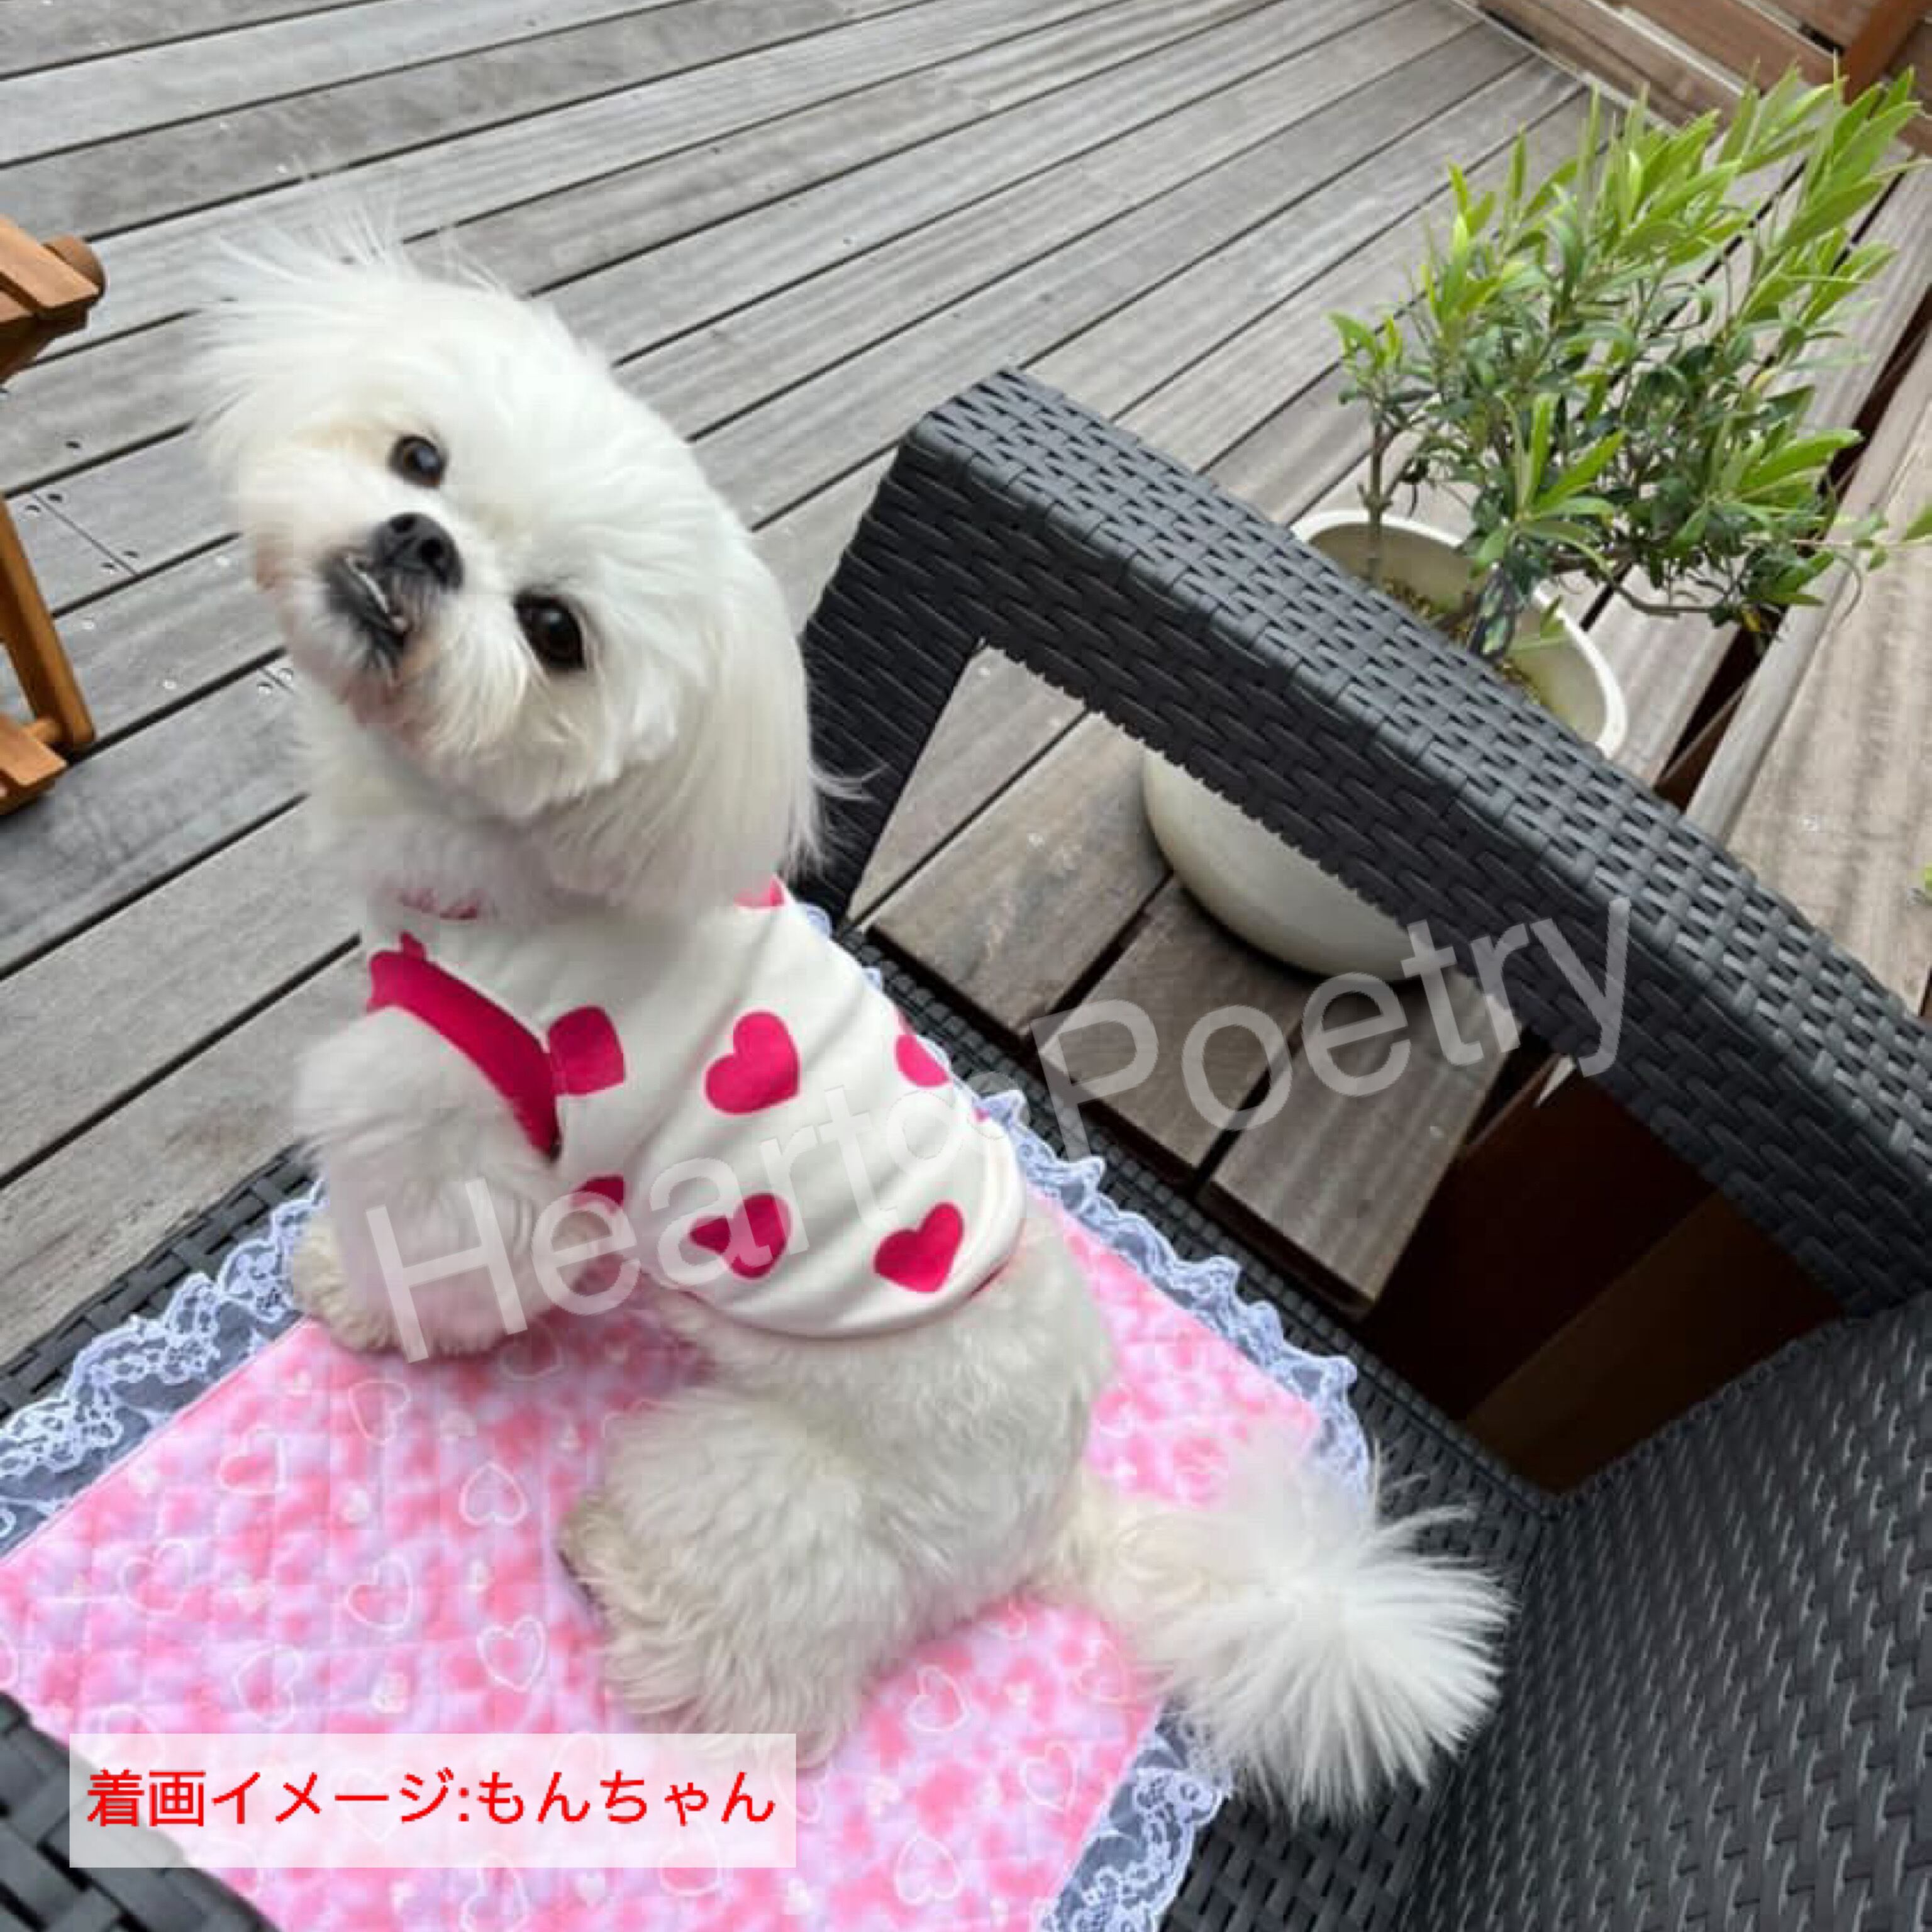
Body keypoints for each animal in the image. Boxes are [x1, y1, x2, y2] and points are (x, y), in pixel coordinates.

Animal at [197, 236, 1505, 1815]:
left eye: (554, 633)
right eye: (420, 457)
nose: (421, 542)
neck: (517, 861)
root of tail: (1052, 1507)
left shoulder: (462, 1133)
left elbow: (435, 1260)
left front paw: (351, 1291)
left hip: (767, 1486)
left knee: (766, 1675)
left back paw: (628, 1577)